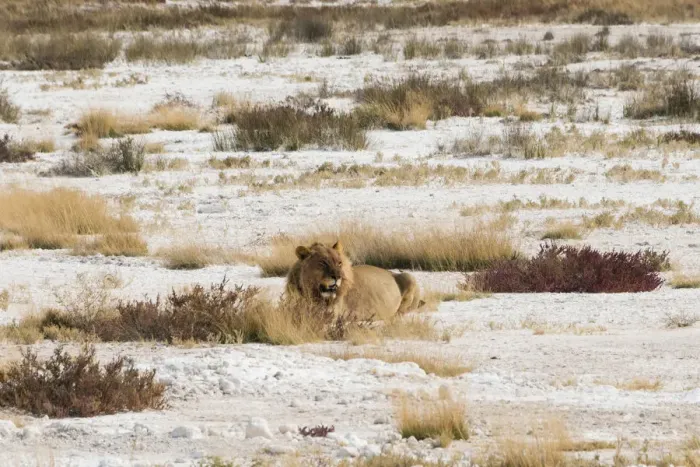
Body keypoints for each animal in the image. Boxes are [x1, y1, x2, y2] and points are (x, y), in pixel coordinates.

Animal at [285, 241, 422, 320]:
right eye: (323, 263)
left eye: (339, 263)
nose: (337, 277)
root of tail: (391, 272)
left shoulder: (332, 313)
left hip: (409, 277)